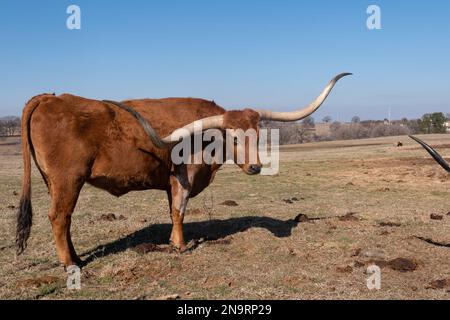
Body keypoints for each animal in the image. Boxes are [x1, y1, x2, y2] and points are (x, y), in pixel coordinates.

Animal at [15, 73, 350, 268]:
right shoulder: (183, 177)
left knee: (65, 219)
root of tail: (50, 97)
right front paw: (180, 245)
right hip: (68, 179)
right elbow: (179, 211)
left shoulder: (169, 182)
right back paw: (70, 265)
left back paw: (76, 257)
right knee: (59, 217)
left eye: (257, 134)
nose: (255, 166)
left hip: (54, 182)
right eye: (233, 137)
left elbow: (172, 210)